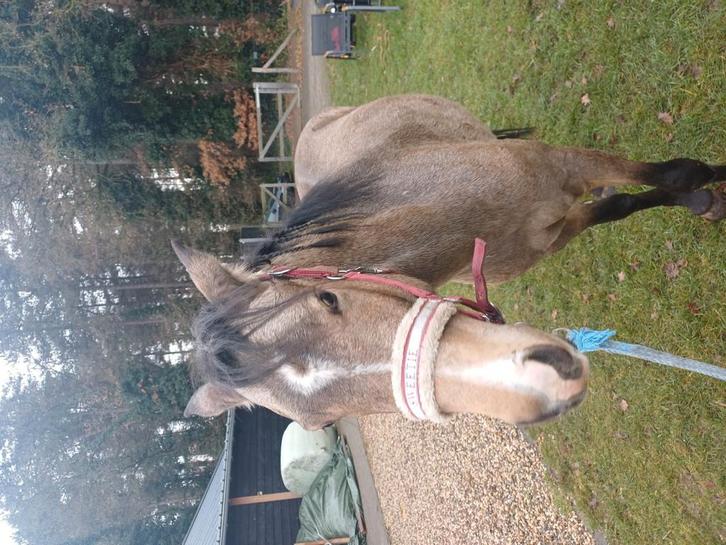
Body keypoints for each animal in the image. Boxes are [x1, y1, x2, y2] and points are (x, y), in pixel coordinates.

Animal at [175, 95, 724, 430]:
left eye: (328, 298)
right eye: (325, 423)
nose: (543, 386)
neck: (445, 211)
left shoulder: (562, 165)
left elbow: (677, 173)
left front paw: (706, 195)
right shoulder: (554, 233)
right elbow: (623, 205)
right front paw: (699, 201)